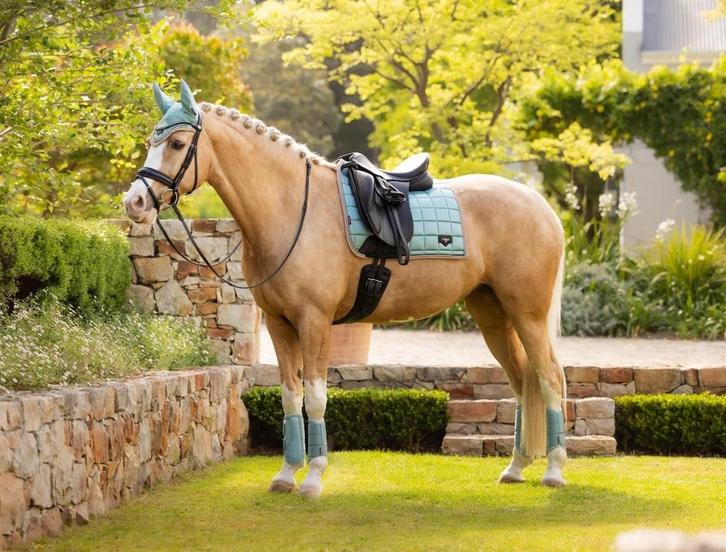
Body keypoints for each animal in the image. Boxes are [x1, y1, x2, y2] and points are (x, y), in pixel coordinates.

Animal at [123, 81, 567, 498]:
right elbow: (291, 397)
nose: (135, 202)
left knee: (550, 378)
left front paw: (313, 479)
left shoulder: (314, 323)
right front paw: (286, 475)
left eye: (177, 143)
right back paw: (515, 467)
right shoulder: (280, 326)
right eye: (151, 141)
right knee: (522, 382)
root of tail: (540, 205)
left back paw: (554, 471)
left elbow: (317, 397)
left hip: (527, 314)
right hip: (492, 315)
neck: (292, 210)